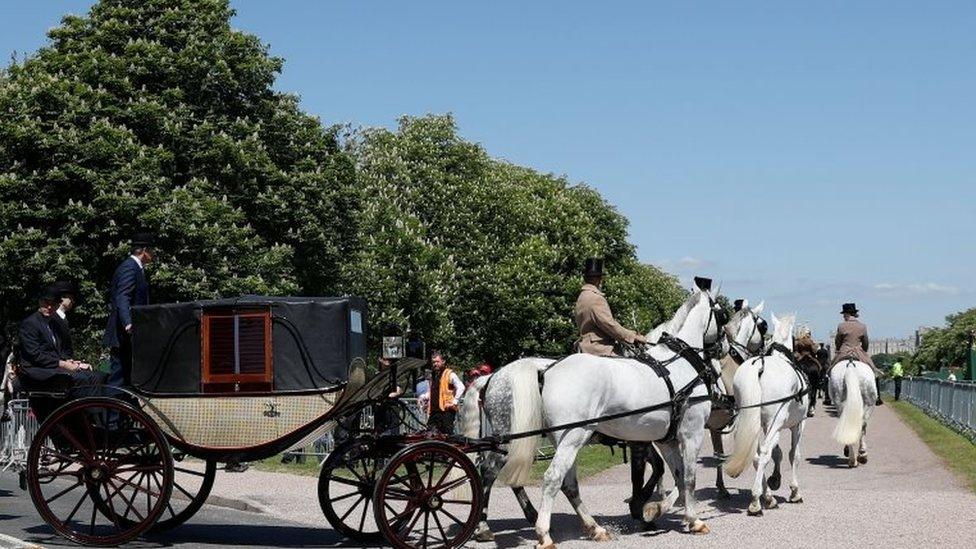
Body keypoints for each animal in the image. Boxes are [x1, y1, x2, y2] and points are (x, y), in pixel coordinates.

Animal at [724, 312, 808, 512]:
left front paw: (774, 480)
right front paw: (794, 491)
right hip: (775, 423)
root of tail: (759, 365)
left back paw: (767, 496)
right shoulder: (798, 424)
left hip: (749, 421)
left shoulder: (766, 425)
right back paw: (756, 500)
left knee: (756, 455)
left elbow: (777, 452)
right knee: (763, 453)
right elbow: (794, 455)